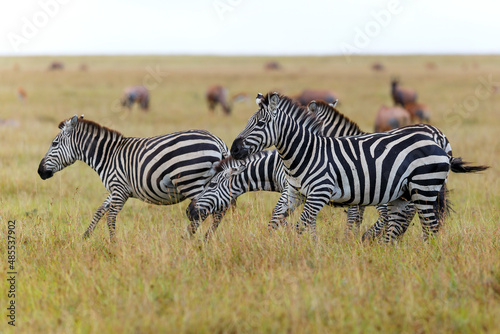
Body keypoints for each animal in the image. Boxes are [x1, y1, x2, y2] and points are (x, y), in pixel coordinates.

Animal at [37, 115, 229, 240]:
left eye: (54, 143)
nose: (40, 171)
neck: (107, 155)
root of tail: (218, 141)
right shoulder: (117, 189)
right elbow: (100, 210)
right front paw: (85, 236)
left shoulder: (119, 188)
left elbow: (110, 217)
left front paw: (113, 244)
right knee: (217, 211)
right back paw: (206, 238)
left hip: (191, 181)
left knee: (205, 212)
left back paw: (188, 237)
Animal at [230, 93, 488, 243]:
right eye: (249, 122)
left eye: (260, 123)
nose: (234, 149)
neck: (307, 152)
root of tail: (438, 137)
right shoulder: (296, 192)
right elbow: (278, 218)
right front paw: (273, 246)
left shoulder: (325, 192)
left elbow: (303, 224)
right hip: (413, 191)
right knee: (415, 221)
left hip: (423, 187)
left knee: (429, 225)